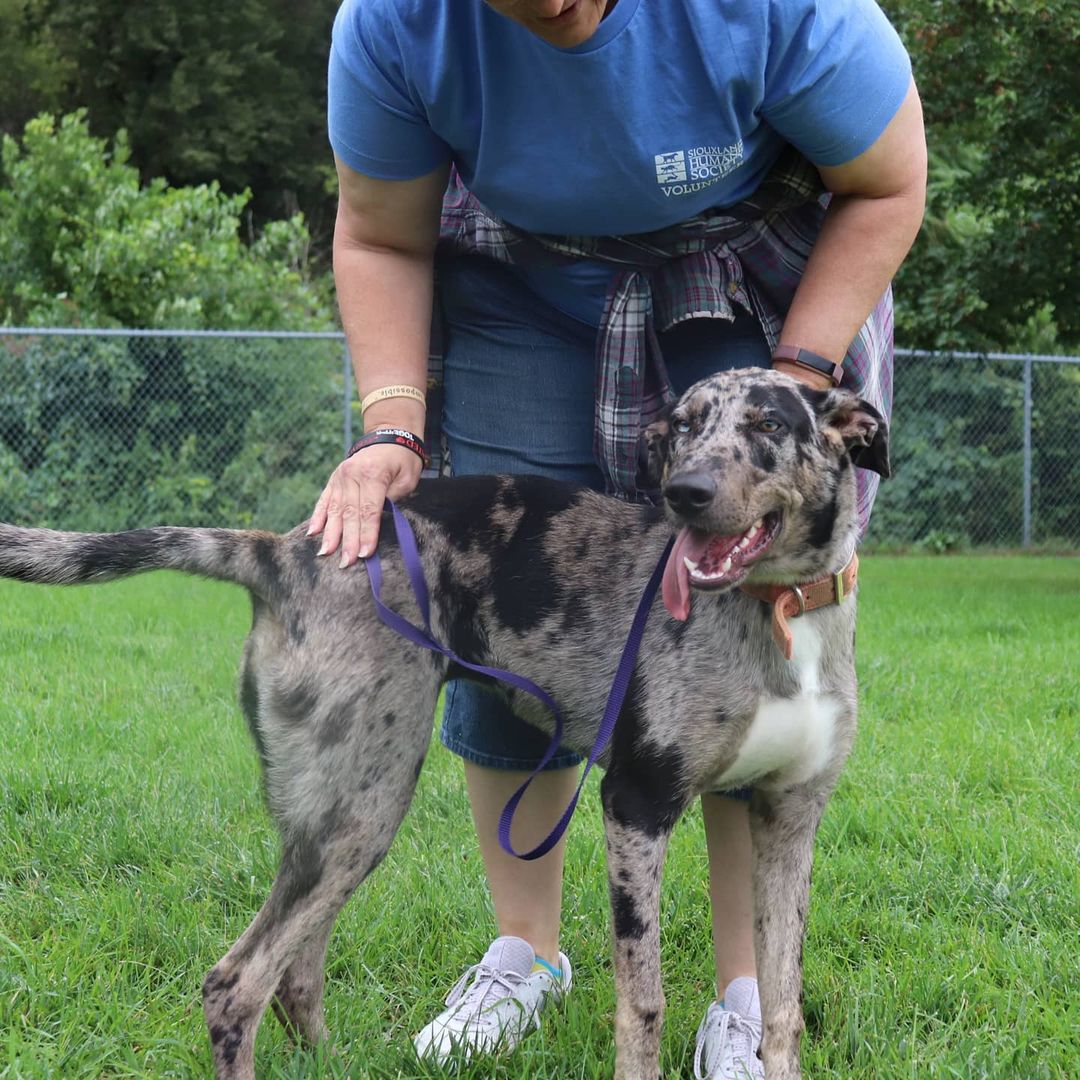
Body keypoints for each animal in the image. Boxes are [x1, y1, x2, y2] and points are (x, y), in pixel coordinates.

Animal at [0, 367, 885, 1075]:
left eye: (769, 424)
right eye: (686, 427)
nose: (685, 494)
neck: (779, 611)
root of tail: (283, 551)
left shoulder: (788, 820)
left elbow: (781, 1007)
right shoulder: (637, 807)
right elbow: (643, 1005)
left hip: (335, 818)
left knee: (295, 972)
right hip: (361, 809)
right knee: (236, 984)